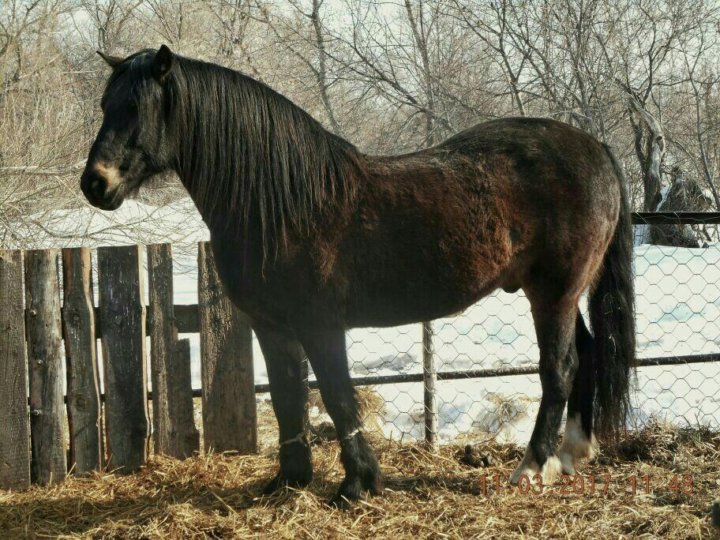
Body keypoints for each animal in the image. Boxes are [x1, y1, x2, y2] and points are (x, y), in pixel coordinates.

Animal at [81, 45, 636, 504]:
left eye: (138, 109)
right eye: (105, 106)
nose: (95, 184)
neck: (283, 204)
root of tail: (598, 150)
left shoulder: (321, 326)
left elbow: (338, 398)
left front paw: (358, 484)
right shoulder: (270, 325)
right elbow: (287, 397)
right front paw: (290, 481)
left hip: (554, 293)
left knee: (559, 367)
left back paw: (533, 467)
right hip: (562, 294)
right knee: (586, 353)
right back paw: (572, 452)